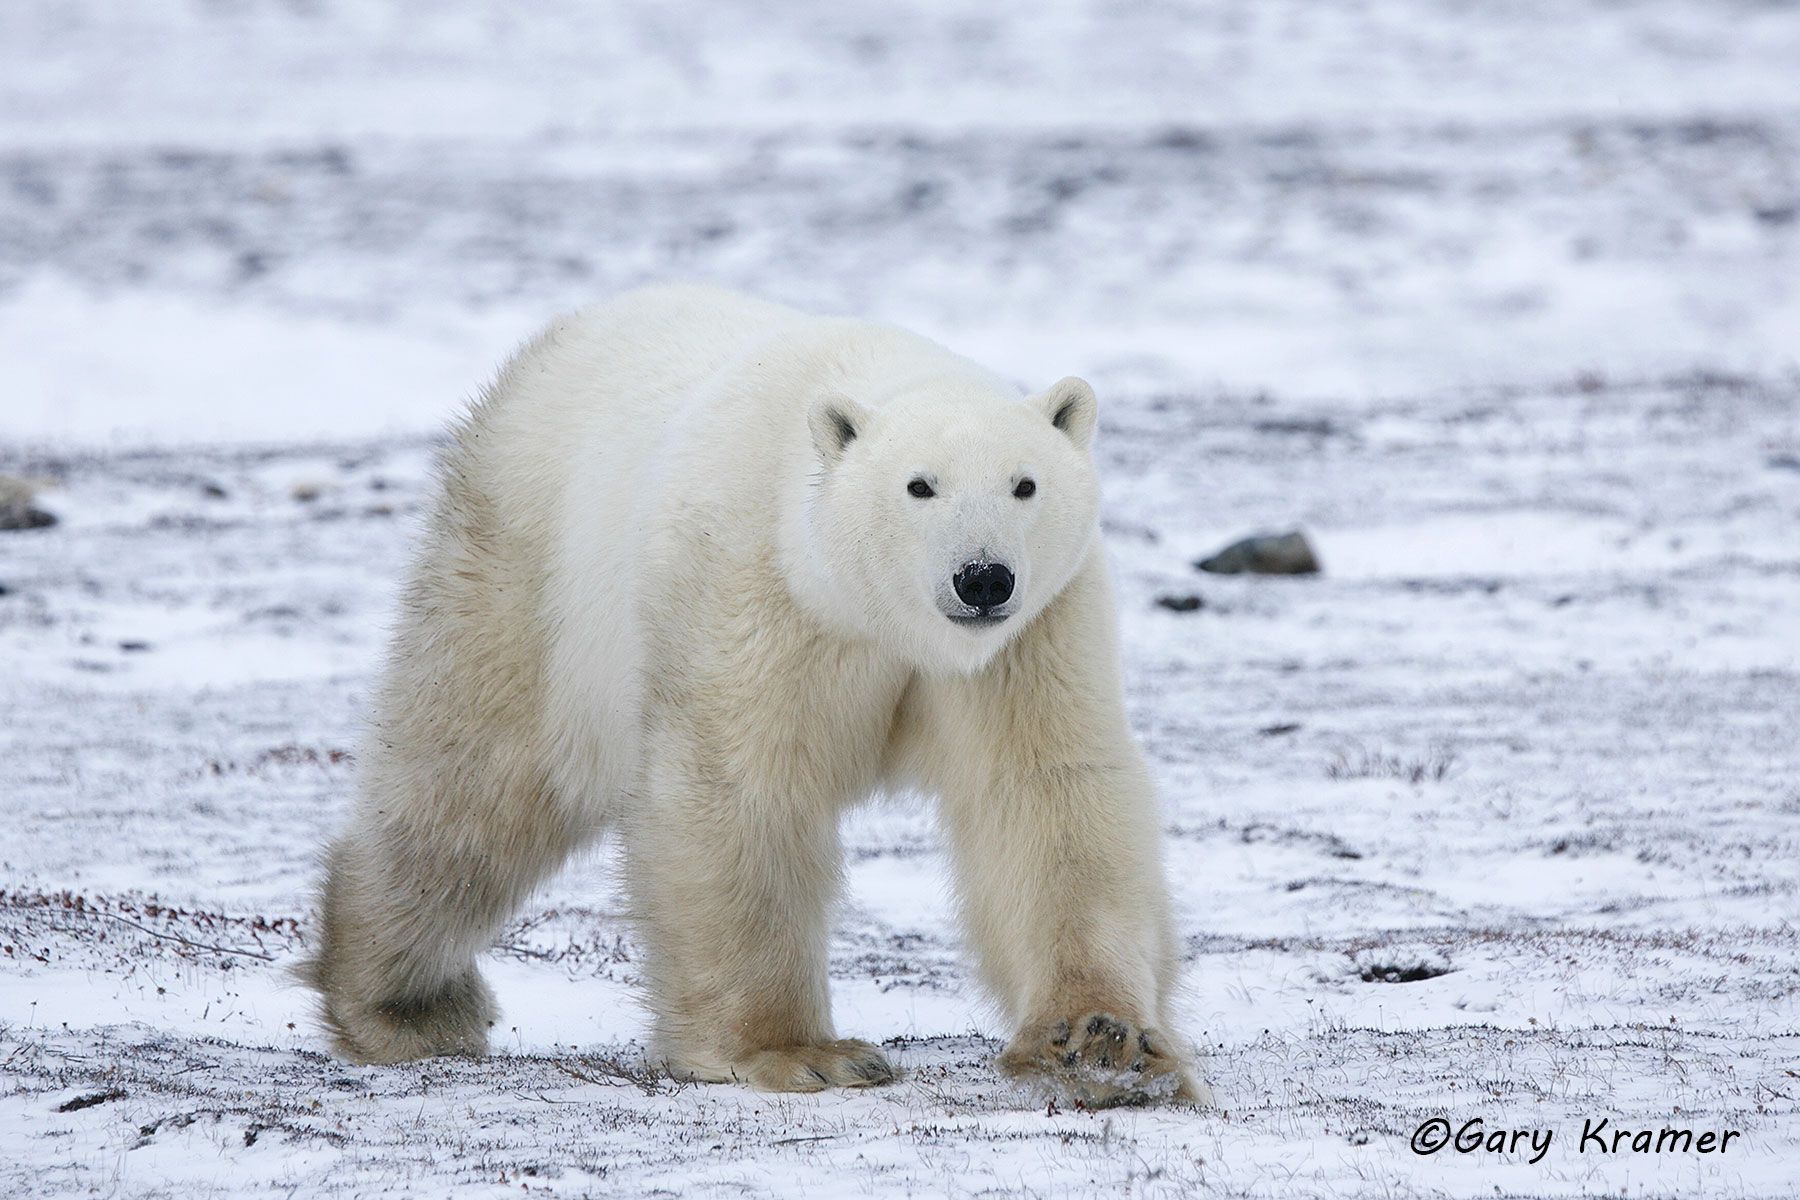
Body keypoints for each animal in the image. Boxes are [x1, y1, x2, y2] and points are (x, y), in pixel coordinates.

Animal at [304, 284, 1206, 1107]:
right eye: (920, 486)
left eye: (1025, 485)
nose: (983, 577)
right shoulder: (757, 590)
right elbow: (740, 788)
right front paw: (801, 1053)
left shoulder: (1031, 636)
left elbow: (1046, 791)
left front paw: (1099, 1042)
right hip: (530, 577)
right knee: (472, 786)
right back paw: (406, 1002)